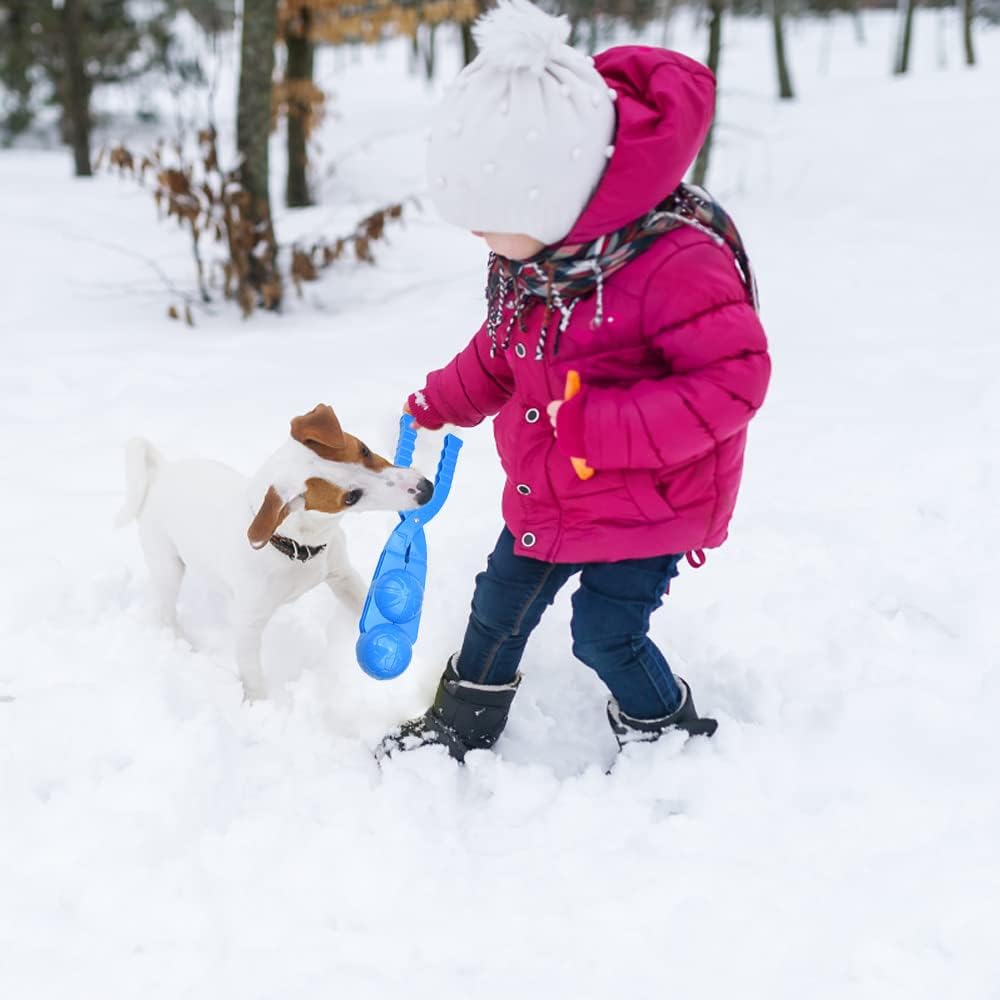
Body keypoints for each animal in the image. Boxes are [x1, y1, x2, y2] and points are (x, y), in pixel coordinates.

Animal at [116, 402, 430, 700]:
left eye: (364, 449)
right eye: (351, 497)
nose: (426, 488)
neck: (295, 545)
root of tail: (161, 472)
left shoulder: (342, 574)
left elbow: (362, 602)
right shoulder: (248, 625)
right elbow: (253, 675)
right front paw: (258, 706)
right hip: (167, 565)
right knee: (166, 611)